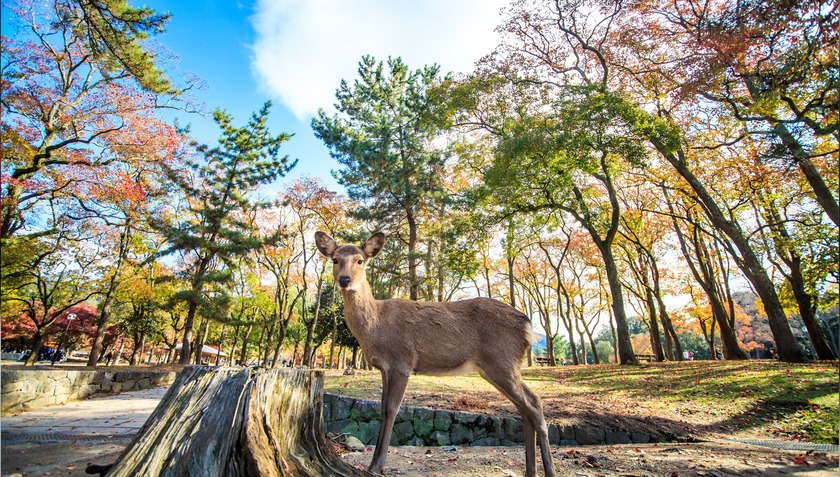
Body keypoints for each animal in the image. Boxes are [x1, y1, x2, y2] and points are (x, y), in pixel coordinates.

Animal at [312, 229, 556, 474]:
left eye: (360, 260)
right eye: (335, 259)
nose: (344, 280)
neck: (375, 327)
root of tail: (528, 326)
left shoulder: (401, 362)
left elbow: (391, 410)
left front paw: (378, 466)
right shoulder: (384, 367)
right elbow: (381, 408)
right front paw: (372, 465)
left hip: (502, 362)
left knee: (534, 402)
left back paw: (549, 470)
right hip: (497, 367)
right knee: (524, 408)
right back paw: (530, 471)